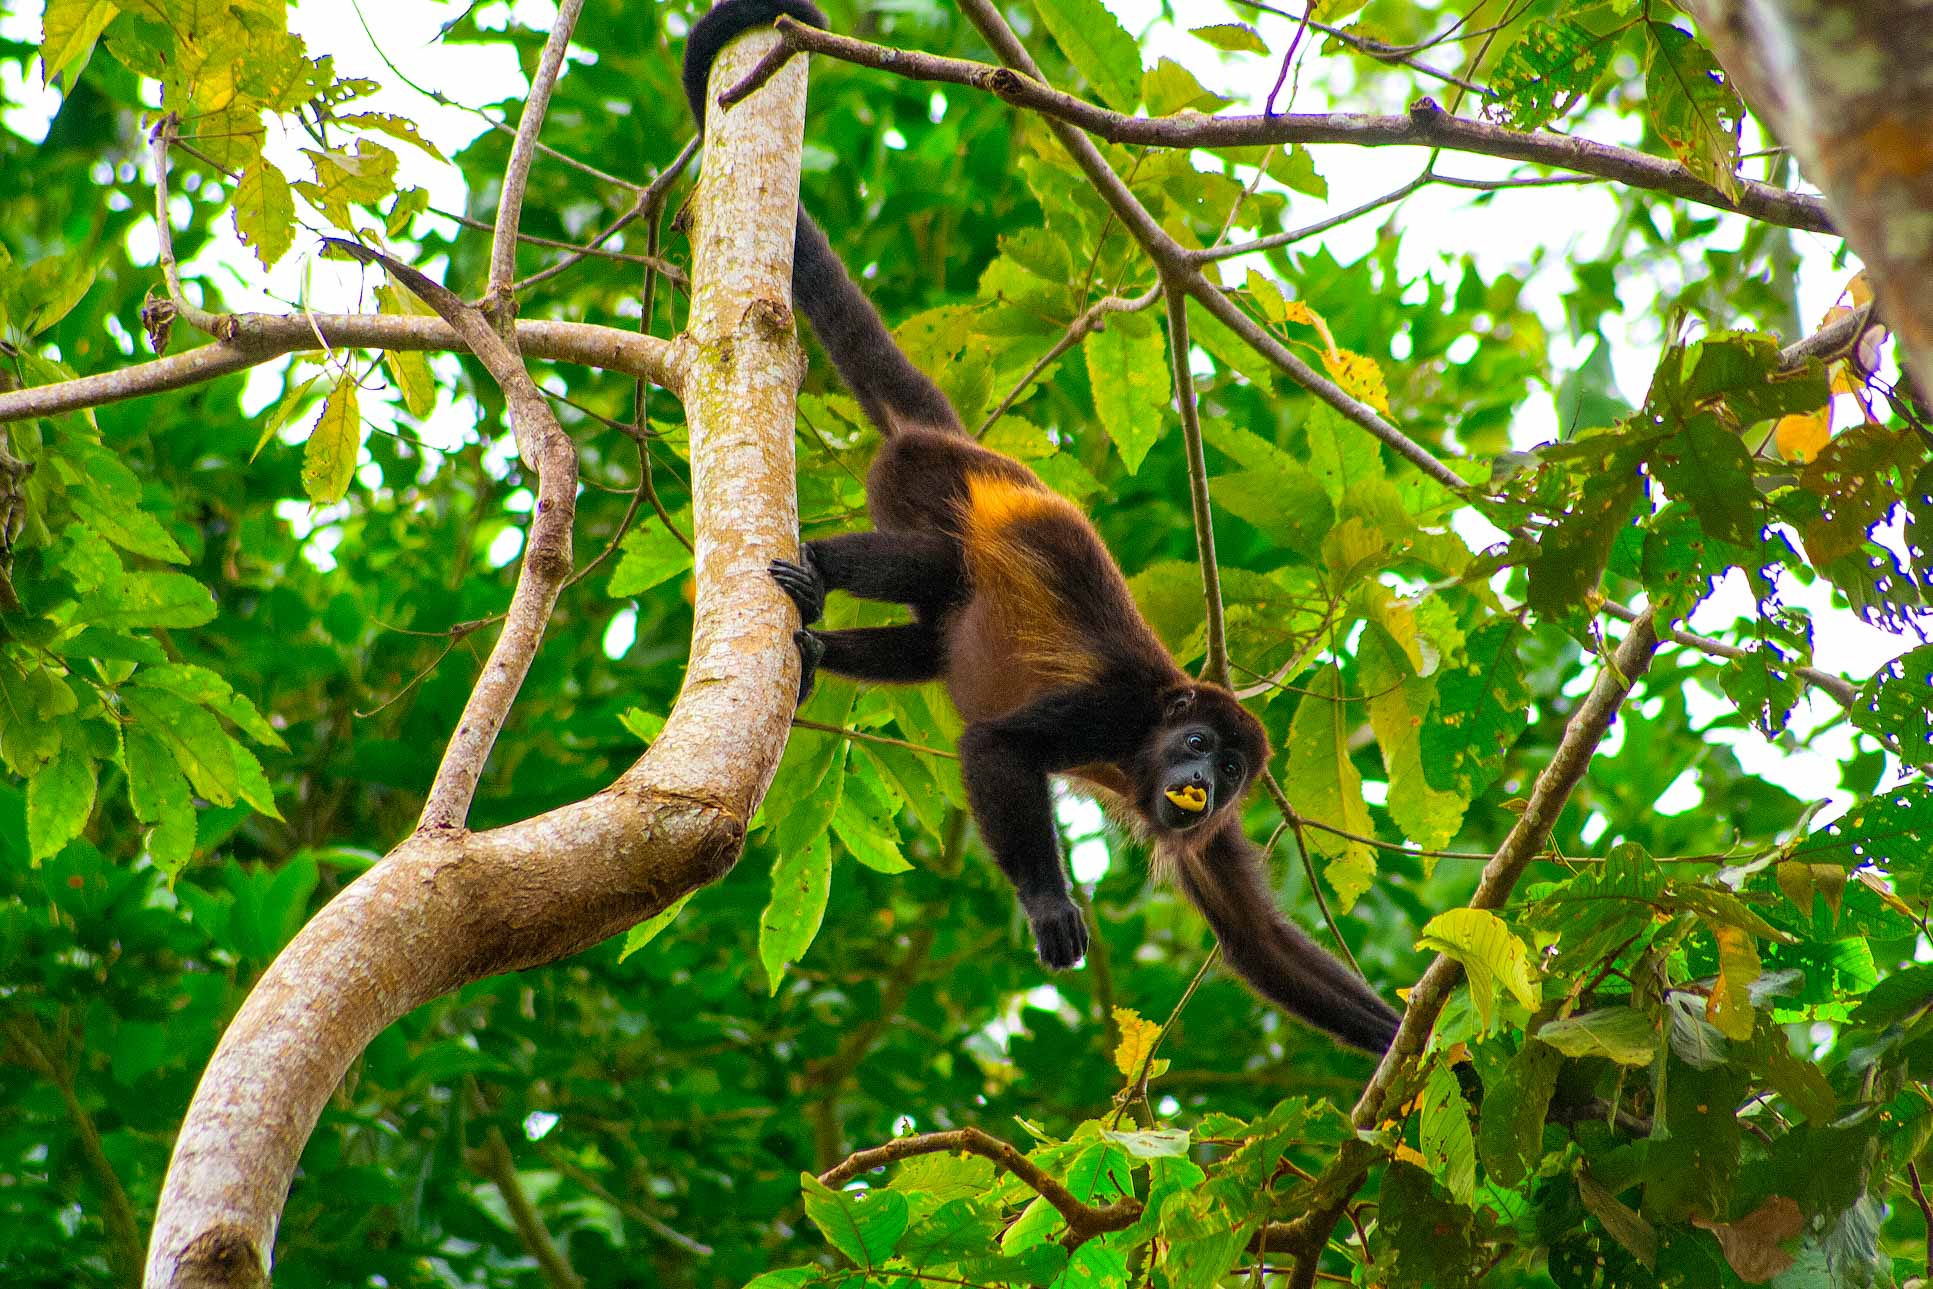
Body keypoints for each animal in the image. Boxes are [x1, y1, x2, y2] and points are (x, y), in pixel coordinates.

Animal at [684, 0, 1403, 1054]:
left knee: (934, 637)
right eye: (1199, 744)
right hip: (918, 478)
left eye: (1233, 769)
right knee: (938, 564)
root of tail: (959, 438)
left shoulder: (1212, 829)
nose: (1205, 774)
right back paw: (814, 568)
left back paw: (820, 646)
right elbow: (997, 748)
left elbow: (1256, 940)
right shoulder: (1111, 707)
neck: (1149, 739)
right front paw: (1049, 903)